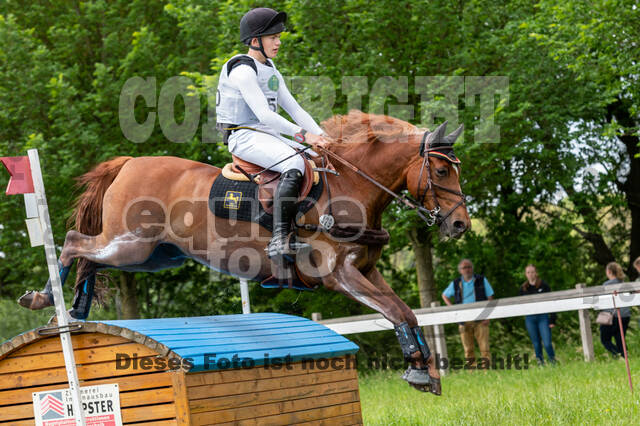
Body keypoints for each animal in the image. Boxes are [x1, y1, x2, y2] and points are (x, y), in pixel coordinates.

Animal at [19, 110, 469, 394]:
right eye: (441, 170)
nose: (460, 225)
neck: (349, 187)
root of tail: (129, 163)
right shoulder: (339, 275)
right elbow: (395, 312)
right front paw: (418, 372)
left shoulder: (368, 271)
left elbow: (406, 312)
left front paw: (423, 371)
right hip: (131, 245)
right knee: (75, 241)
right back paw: (45, 300)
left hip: (156, 254)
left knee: (89, 256)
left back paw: (75, 311)